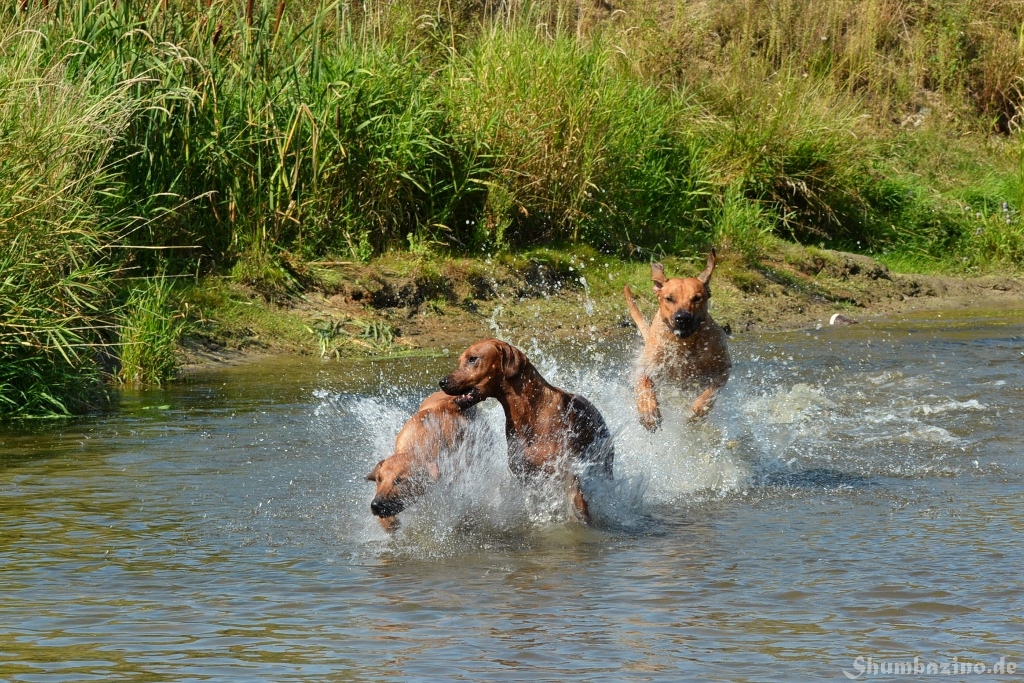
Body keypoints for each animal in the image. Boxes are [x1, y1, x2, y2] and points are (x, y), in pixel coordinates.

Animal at [439, 339, 614, 523]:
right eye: (460, 361)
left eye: (472, 359)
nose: (442, 382)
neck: (529, 413)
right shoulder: (527, 478)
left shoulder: (566, 473)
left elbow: (577, 505)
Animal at [623, 249, 731, 430]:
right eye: (669, 298)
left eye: (697, 298)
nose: (682, 318)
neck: (684, 344)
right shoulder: (646, 366)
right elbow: (644, 384)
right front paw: (648, 411)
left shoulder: (723, 367)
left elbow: (710, 392)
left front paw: (697, 412)